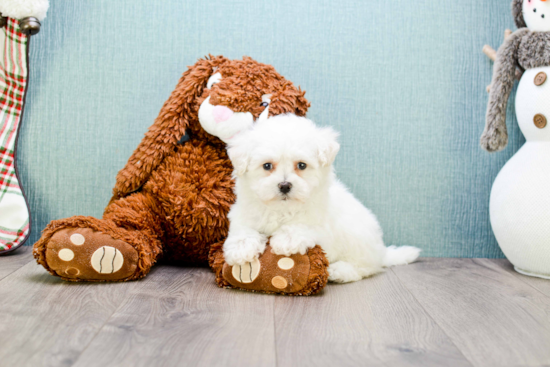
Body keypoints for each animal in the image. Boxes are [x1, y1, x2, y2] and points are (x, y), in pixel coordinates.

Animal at [222, 113, 420, 284]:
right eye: (267, 166)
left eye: (302, 165)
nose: (285, 185)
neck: (282, 209)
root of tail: (382, 252)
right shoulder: (244, 214)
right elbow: (244, 230)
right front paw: (241, 249)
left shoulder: (321, 226)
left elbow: (302, 226)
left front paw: (286, 240)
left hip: (357, 236)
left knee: (365, 267)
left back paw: (340, 271)